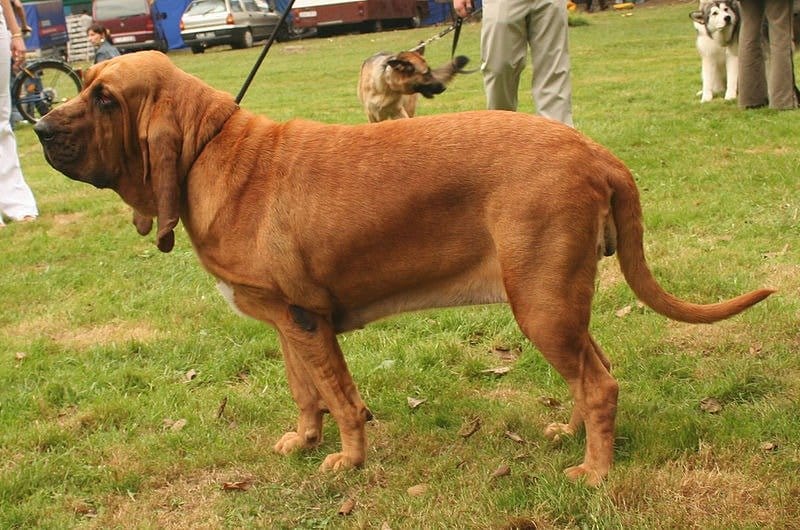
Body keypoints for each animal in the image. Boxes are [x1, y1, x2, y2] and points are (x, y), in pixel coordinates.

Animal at [34, 51, 772, 484]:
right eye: (82, 86)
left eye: (106, 99)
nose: (39, 128)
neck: (210, 153)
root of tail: (596, 153)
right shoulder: (286, 322)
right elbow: (305, 393)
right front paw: (303, 442)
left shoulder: (307, 320)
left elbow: (341, 397)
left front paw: (348, 461)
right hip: (557, 301)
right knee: (595, 372)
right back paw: (572, 436)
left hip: (540, 305)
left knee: (601, 384)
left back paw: (594, 473)